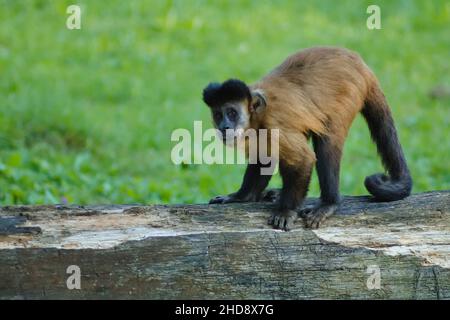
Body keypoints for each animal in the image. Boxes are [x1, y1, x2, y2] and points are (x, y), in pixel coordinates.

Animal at [202, 46, 414, 229]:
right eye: (218, 115)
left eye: (232, 113)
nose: (224, 127)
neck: (257, 118)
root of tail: (360, 63)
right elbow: (264, 159)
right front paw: (242, 196)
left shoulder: (274, 124)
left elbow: (304, 160)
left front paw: (286, 210)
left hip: (349, 94)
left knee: (326, 143)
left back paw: (329, 203)